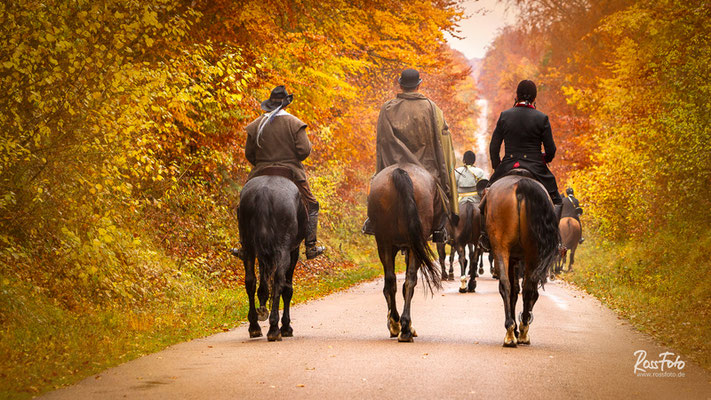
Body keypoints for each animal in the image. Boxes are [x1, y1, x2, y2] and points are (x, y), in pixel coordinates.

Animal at [238, 174, 308, 340]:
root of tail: (264, 192)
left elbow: (262, 284)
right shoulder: (293, 251)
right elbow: (288, 289)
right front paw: (286, 328)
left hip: (248, 246)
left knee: (250, 281)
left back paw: (254, 326)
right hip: (283, 251)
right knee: (279, 281)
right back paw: (274, 329)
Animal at [370, 164, 442, 342]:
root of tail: (400, 170)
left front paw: (398, 324)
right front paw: (406, 326)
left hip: (384, 242)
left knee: (391, 280)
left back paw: (397, 323)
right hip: (412, 245)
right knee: (409, 280)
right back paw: (404, 329)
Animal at [484, 173, 560, 346]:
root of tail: (521, 184)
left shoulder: (514, 258)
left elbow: (514, 289)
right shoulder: (517, 258)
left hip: (505, 249)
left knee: (510, 286)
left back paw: (512, 332)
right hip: (527, 253)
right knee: (525, 288)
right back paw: (520, 331)